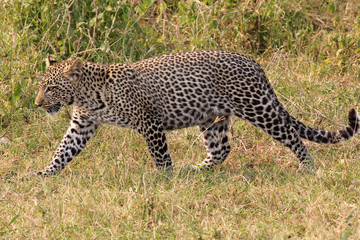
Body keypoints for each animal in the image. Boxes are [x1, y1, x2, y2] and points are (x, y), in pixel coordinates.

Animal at [33, 50, 358, 176]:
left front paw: (165, 179)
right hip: (212, 119)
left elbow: (160, 154)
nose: (37, 104)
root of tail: (253, 63)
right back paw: (196, 170)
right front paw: (43, 174)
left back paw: (308, 167)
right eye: (41, 86)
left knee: (291, 134)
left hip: (258, 108)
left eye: (51, 88)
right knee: (221, 149)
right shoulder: (82, 125)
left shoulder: (149, 120)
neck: (88, 95)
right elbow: (63, 151)